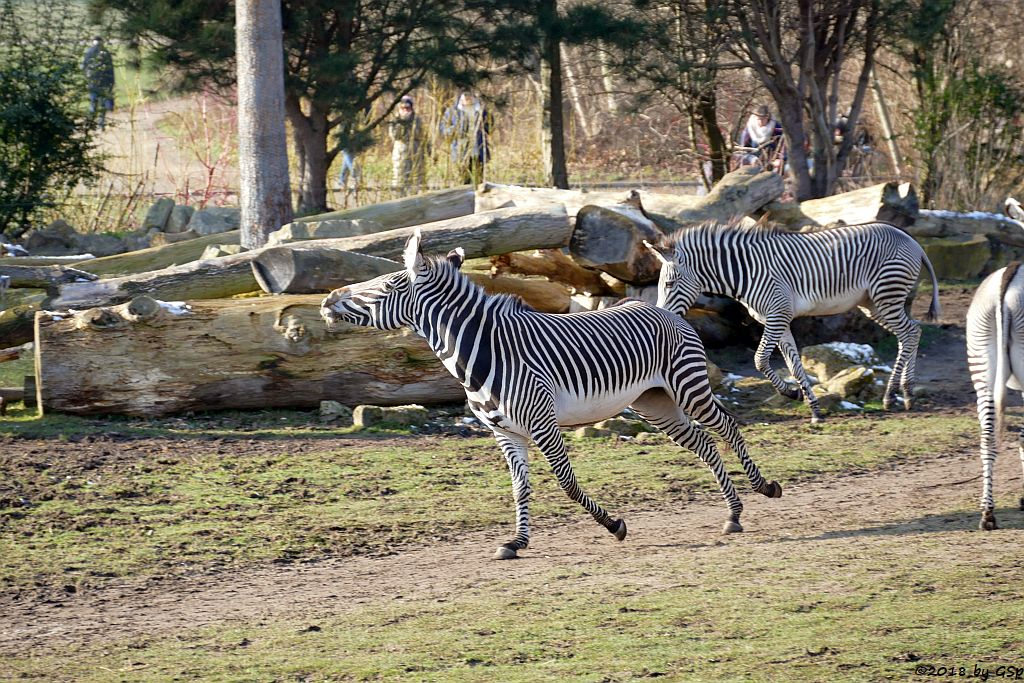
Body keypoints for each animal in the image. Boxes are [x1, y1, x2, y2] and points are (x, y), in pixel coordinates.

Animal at [323, 229, 778, 561]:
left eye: (384, 285)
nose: (327, 300)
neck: (484, 351)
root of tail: (666, 310)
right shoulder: (505, 432)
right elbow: (519, 488)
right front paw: (516, 542)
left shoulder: (542, 423)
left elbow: (567, 483)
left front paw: (614, 525)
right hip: (653, 403)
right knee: (702, 443)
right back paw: (733, 513)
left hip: (687, 386)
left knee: (726, 426)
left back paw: (763, 489)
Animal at [651, 219, 937, 421]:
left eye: (669, 284)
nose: (663, 317)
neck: (746, 271)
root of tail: (910, 240)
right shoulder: (778, 319)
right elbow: (794, 363)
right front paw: (814, 409)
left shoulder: (778, 313)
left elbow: (760, 360)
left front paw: (790, 392)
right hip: (874, 304)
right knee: (912, 332)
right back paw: (907, 394)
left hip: (886, 295)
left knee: (910, 333)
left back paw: (893, 395)